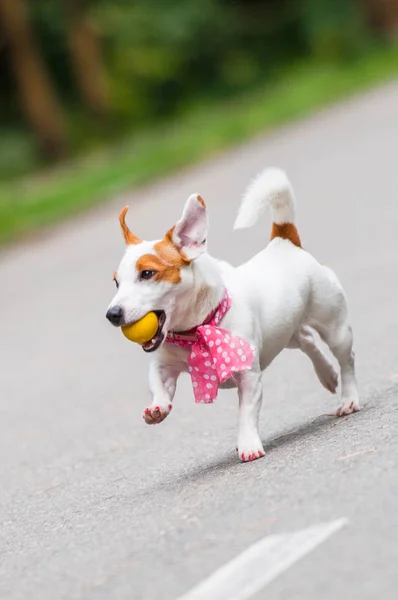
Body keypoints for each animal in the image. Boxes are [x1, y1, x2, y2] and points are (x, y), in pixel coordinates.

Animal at [105, 169, 358, 464]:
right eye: (116, 282)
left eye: (147, 273)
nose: (112, 314)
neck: (196, 330)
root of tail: (284, 242)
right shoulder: (164, 365)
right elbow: (157, 383)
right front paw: (158, 406)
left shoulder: (249, 378)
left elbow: (245, 414)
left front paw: (248, 445)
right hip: (283, 331)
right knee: (306, 339)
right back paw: (326, 374)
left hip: (334, 327)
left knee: (346, 360)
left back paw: (349, 398)